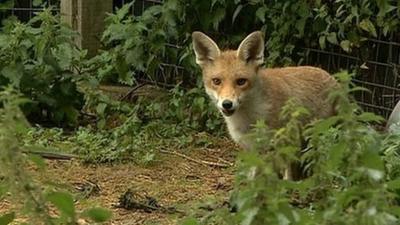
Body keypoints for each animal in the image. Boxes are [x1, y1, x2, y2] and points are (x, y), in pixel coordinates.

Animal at [191, 30, 338, 180]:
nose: (227, 104)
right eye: (216, 81)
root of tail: (331, 76)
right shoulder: (250, 147)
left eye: (241, 81)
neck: (249, 118)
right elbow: (254, 175)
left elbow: (285, 174)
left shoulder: (284, 141)